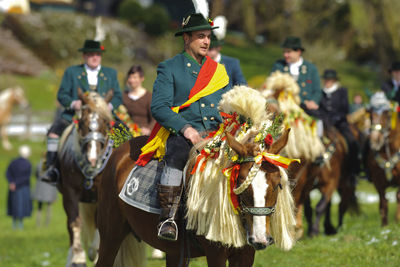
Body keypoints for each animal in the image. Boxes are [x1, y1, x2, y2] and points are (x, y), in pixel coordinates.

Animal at [56, 89, 115, 266]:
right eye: (81, 123)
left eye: (106, 123)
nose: (93, 159)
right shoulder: (70, 193)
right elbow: (74, 223)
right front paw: (77, 257)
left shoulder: (101, 196)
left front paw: (94, 252)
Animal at [95, 86, 296, 267]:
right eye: (240, 184)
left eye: (278, 185)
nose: (260, 238)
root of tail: (120, 150)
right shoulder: (215, 253)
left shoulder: (246, 254)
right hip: (110, 234)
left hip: (174, 251)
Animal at [366, 92, 400, 226]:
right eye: (370, 113)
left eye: (386, 113)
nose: (375, 139)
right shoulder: (377, 180)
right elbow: (383, 202)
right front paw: (384, 225)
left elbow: (398, 196)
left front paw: (397, 221)